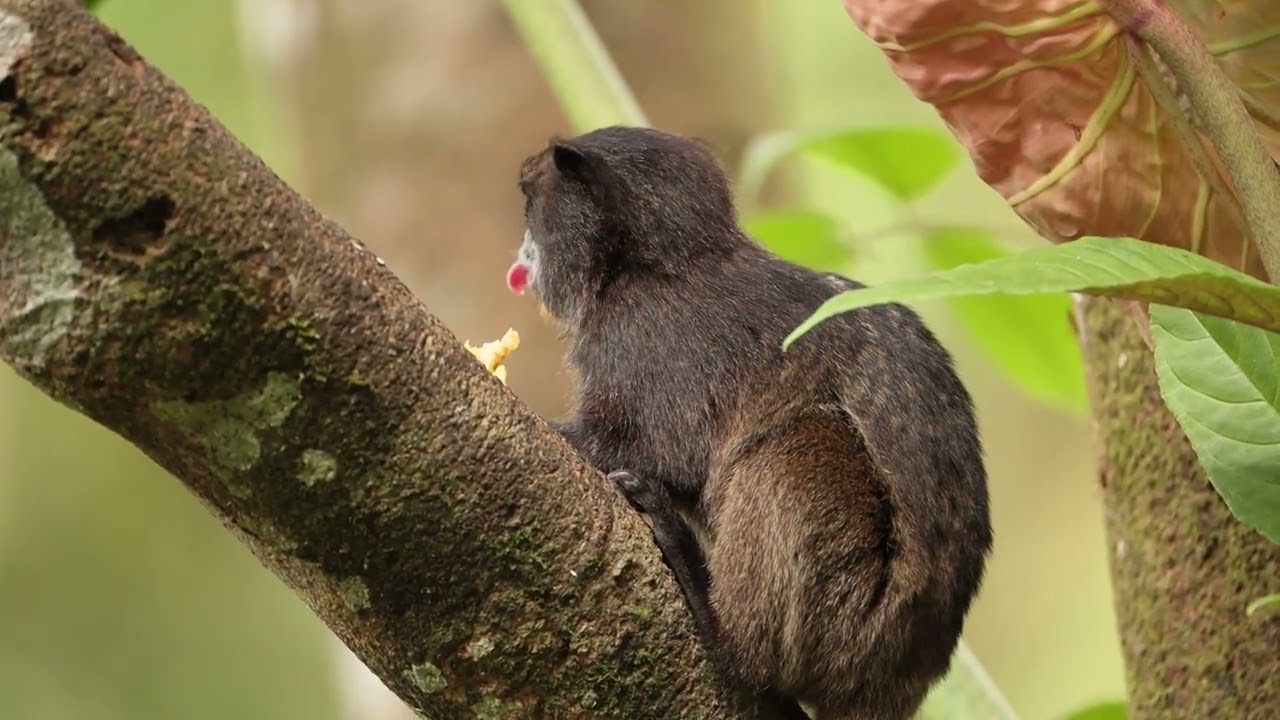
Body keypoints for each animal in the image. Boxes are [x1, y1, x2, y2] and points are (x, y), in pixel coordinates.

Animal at [506, 125, 992, 720]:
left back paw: (720, 624)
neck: (652, 264)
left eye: (531, 204)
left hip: (849, 623)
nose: (521, 254)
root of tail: (893, 684)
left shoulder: (644, 336)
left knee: (789, 449)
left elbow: (661, 453)